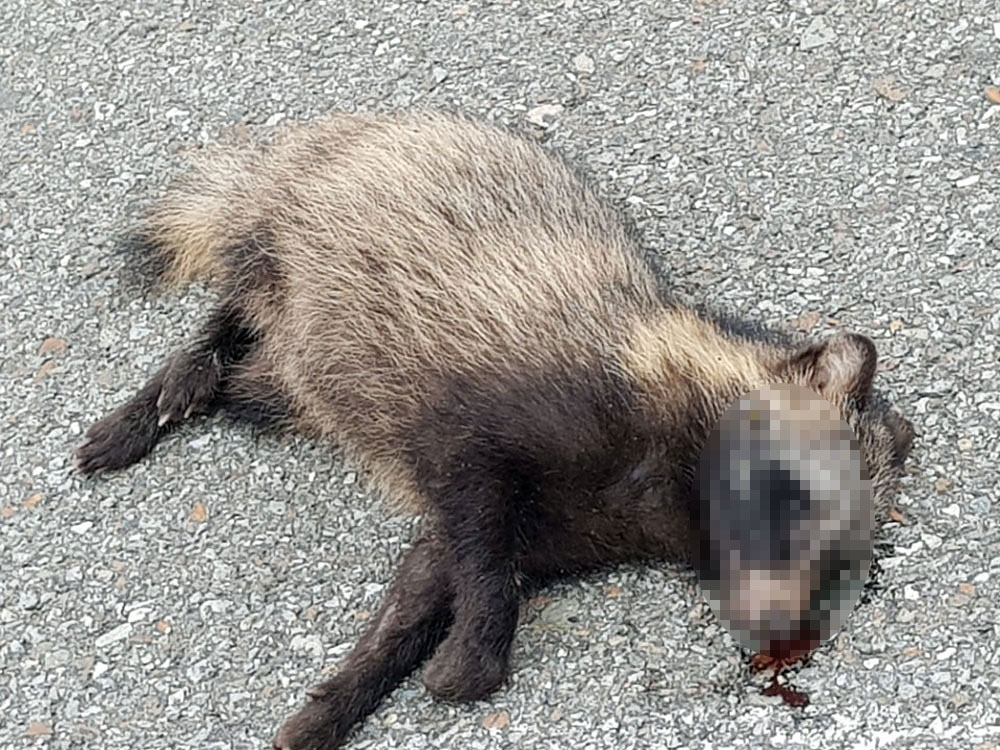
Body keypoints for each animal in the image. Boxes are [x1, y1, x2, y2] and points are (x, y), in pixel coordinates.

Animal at [74, 108, 912, 748]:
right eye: (793, 492)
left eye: (843, 566)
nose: (774, 629)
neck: (667, 490)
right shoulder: (498, 411)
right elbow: (475, 532)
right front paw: (471, 651)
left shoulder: (564, 522)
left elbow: (425, 576)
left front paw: (341, 695)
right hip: (289, 236)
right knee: (234, 306)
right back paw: (167, 389)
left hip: (293, 376)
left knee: (257, 384)